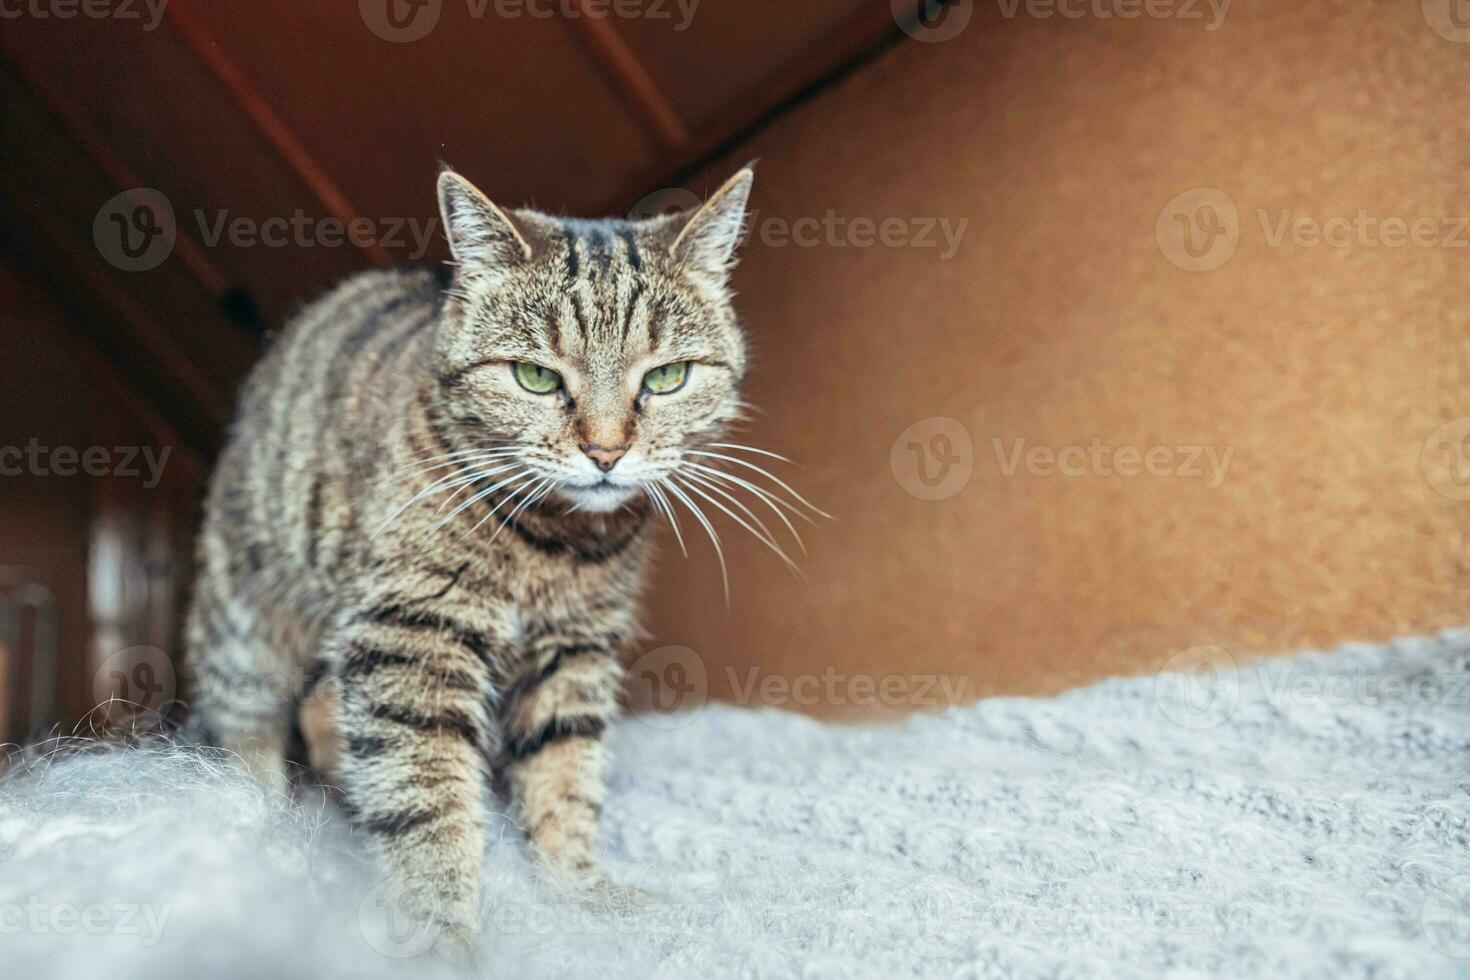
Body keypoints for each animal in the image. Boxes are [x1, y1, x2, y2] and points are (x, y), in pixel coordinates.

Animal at [186, 166, 817, 952]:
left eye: (667, 377)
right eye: (534, 378)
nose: (606, 451)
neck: (558, 544)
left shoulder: (573, 649)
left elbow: (564, 771)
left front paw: (578, 887)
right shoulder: (412, 634)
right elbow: (426, 794)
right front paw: (441, 932)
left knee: (324, 709)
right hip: (243, 619)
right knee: (246, 727)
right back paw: (261, 823)